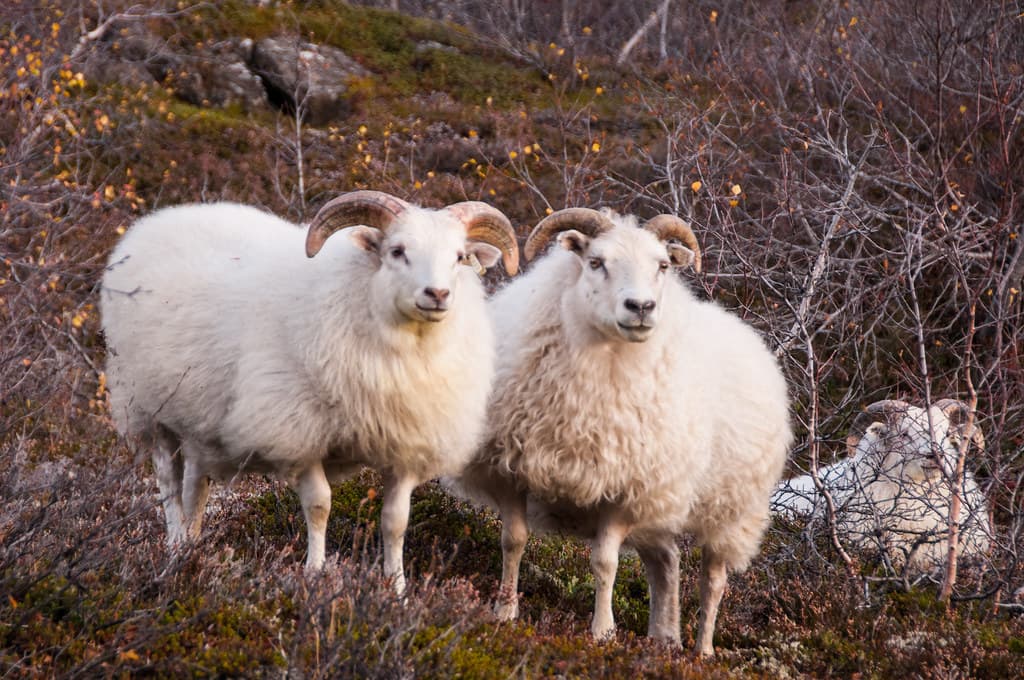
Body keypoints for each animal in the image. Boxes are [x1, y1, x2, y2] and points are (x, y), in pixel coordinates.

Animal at [101, 191, 519, 592]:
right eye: (397, 251)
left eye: (459, 256)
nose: (438, 294)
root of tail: (159, 219)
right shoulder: (299, 433)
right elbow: (320, 505)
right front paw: (316, 573)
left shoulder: (403, 445)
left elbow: (395, 521)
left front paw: (397, 588)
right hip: (149, 409)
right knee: (169, 484)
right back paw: (174, 549)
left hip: (198, 421)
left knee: (195, 487)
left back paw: (192, 546)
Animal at [453, 208, 793, 656]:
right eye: (596, 262)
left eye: (662, 266)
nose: (642, 306)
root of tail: (747, 332)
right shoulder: (511, 469)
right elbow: (514, 540)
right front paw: (504, 612)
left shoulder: (623, 488)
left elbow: (605, 562)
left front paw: (601, 633)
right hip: (661, 507)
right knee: (667, 562)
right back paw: (663, 639)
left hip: (730, 512)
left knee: (714, 580)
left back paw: (702, 651)